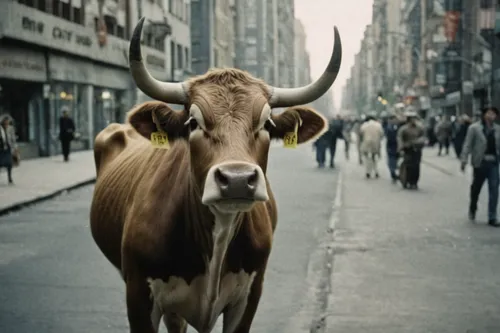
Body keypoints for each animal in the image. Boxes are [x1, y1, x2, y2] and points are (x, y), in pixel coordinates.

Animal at [89, 17, 340, 332]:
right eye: (193, 122)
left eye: (266, 124)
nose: (237, 180)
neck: (217, 237)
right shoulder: (138, 296)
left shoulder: (248, 297)